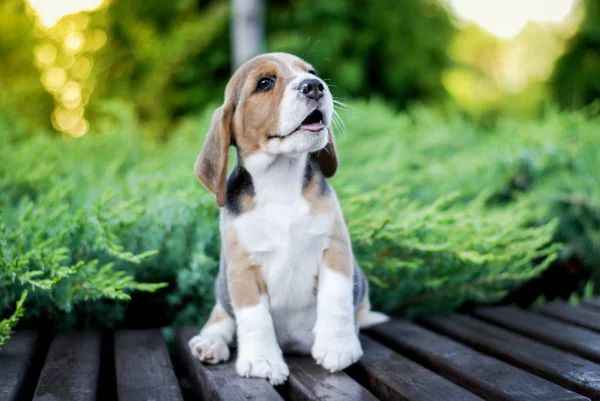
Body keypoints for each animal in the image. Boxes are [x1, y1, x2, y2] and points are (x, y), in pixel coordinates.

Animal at [188, 52, 390, 384]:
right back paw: (211, 342)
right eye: (265, 83)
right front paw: (261, 360)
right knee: (221, 316)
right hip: (222, 286)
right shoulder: (242, 268)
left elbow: (336, 297)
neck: (280, 179)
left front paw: (337, 346)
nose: (315, 86)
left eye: (311, 72)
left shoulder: (335, 248)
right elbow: (253, 316)